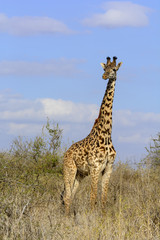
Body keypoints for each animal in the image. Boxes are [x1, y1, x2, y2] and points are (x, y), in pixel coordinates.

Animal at [62, 56, 122, 216]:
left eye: (114, 69)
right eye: (104, 68)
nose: (104, 76)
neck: (106, 133)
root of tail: (65, 153)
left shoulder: (108, 167)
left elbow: (103, 198)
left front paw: (103, 217)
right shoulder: (95, 167)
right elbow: (93, 198)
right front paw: (92, 217)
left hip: (80, 174)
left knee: (71, 194)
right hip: (69, 170)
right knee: (67, 196)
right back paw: (65, 218)